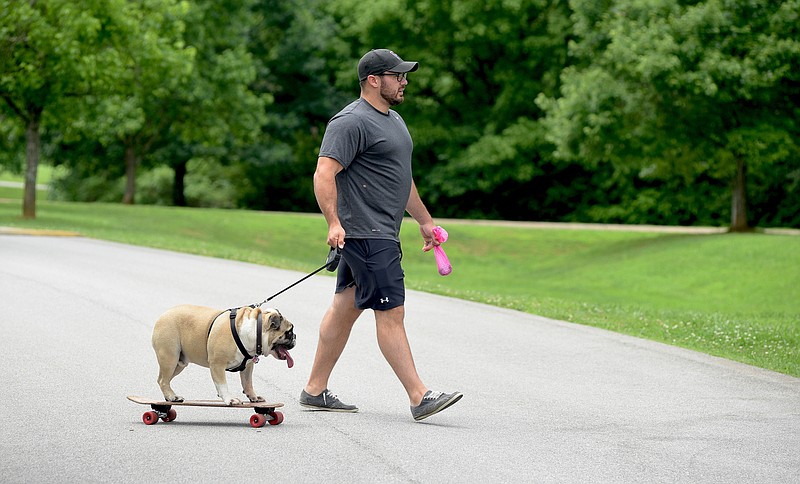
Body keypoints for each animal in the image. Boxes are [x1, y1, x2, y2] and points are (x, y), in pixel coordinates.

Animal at [152, 306, 296, 404]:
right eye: (289, 332)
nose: (295, 336)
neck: (255, 329)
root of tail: (163, 316)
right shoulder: (217, 365)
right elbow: (222, 384)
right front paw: (229, 399)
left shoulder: (248, 366)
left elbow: (248, 382)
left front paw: (253, 396)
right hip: (170, 358)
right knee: (164, 380)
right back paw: (172, 396)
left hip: (179, 363)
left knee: (162, 380)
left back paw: (170, 396)